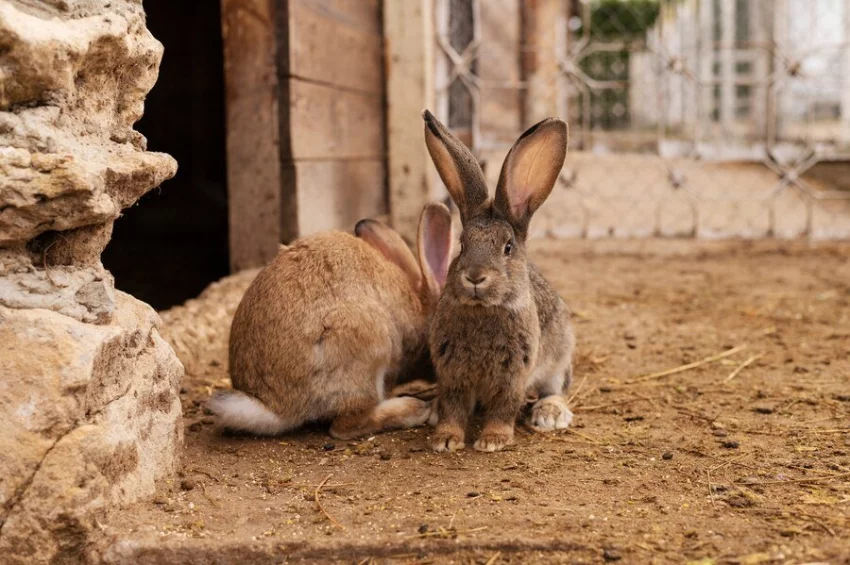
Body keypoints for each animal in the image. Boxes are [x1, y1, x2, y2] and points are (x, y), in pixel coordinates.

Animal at [424, 111, 576, 454]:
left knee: (556, 388)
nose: (475, 276)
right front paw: (445, 439)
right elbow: (452, 407)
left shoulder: (515, 372)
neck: (483, 309)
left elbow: (503, 407)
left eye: (508, 247)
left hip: (560, 355)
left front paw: (492, 440)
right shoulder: (451, 372)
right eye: (462, 245)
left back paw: (549, 414)